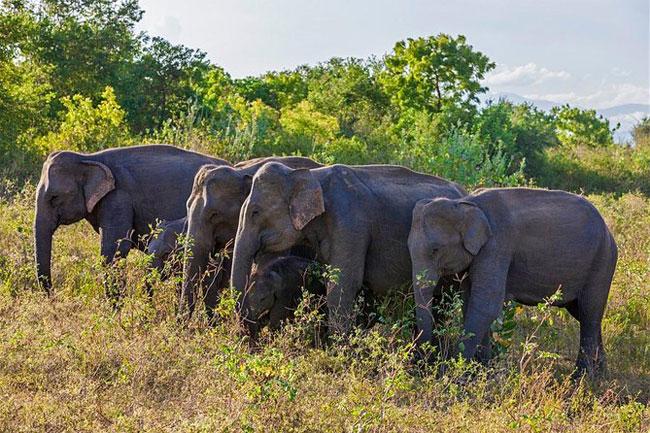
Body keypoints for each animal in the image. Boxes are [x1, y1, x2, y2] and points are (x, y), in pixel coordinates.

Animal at [407, 188, 617, 376]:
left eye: (435, 249)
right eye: (408, 247)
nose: (423, 367)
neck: (465, 203)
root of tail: (608, 231)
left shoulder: (497, 246)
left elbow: (485, 305)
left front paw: (455, 374)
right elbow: (470, 303)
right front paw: (481, 372)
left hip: (602, 262)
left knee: (589, 313)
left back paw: (580, 378)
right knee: (584, 314)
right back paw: (601, 375)